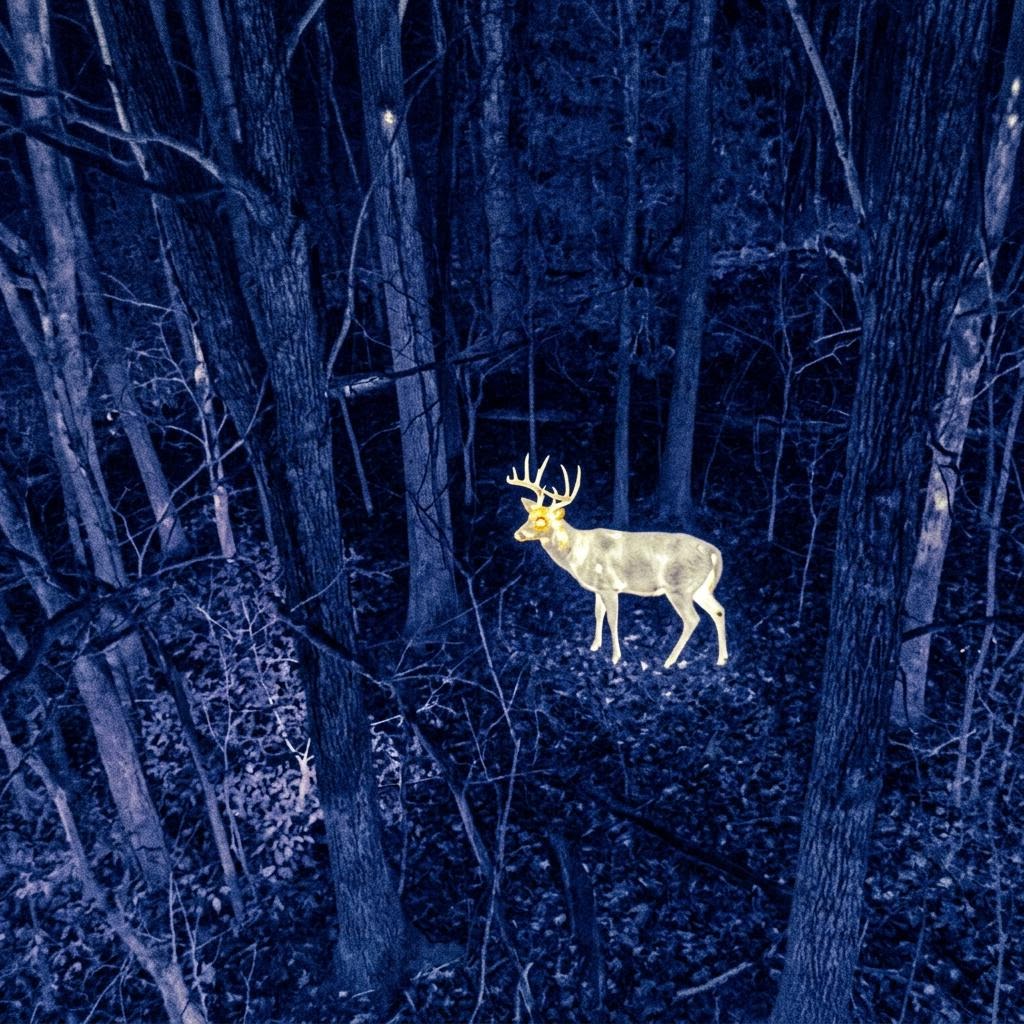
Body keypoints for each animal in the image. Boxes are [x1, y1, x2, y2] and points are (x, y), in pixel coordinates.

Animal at [507, 454, 728, 669]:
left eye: (541, 521)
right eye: (529, 516)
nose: (517, 534)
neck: (578, 552)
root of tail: (713, 551)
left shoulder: (609, 586)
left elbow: (613, 620)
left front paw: (615, 657)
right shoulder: (597, 588)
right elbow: (598, 614)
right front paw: (594, 646)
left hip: (679, 587)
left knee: (692, 619)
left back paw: (669, 661)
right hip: (699, 588)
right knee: (718, 610)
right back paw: (722, 659)